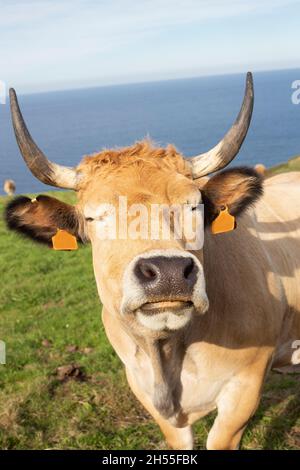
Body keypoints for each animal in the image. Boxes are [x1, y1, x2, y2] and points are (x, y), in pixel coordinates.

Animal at [5, 74, 300, 452]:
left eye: (194, 206)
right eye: (93, 217)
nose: (169, 273)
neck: (169, 358)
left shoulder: (245, 387)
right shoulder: (143, 389)